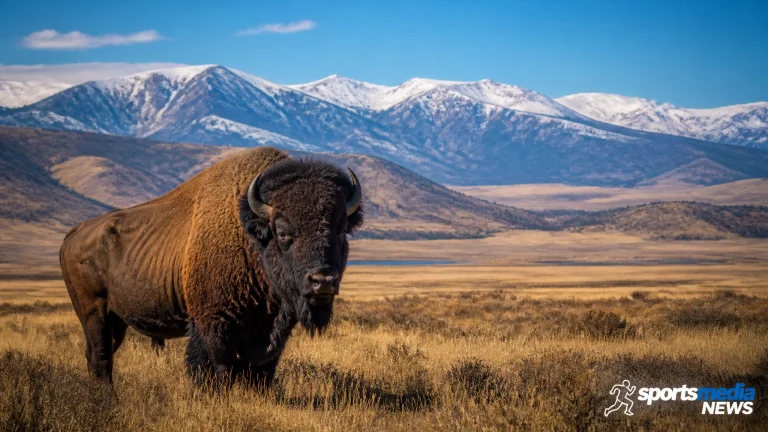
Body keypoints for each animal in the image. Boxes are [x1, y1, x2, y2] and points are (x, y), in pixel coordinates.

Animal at [59, 147, 363, 387]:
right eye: (283, 232)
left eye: (341, 231)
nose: (323, 281)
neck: (250, 235)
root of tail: (74, 233)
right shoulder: (212, 325)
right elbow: (214, 370)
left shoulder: (269, 335)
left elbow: (261, 372)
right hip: (94, 313)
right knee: (101, 357)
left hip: (117, 319)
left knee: (97, 355)